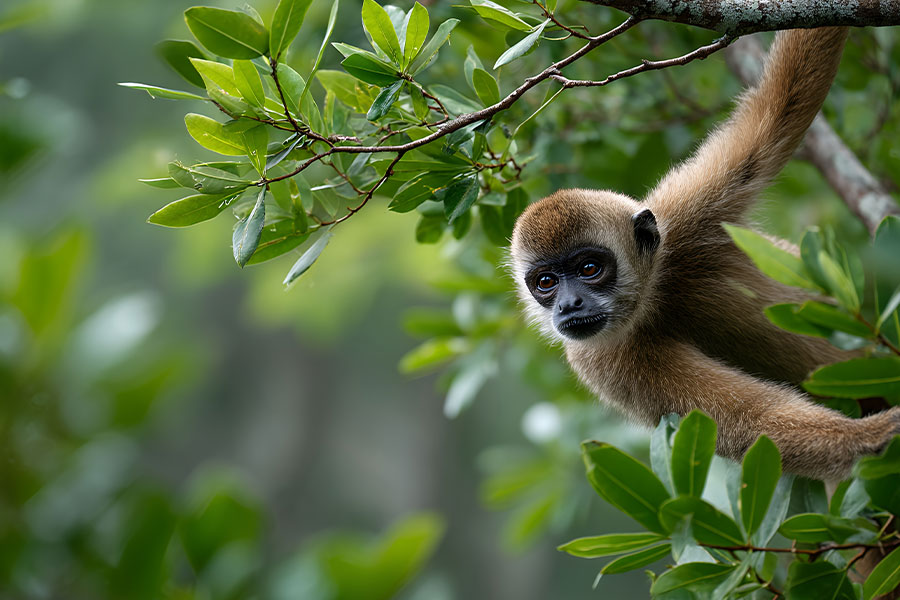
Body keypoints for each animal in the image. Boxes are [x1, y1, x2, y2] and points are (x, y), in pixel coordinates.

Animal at [510, 27, 900, 481]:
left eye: (589, 268)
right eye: (546, 283)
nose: (569, 305)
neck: (654, 297)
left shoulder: (686, 212)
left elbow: (782, 106)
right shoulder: (602, 361)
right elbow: (751, 422)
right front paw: (873, 436)